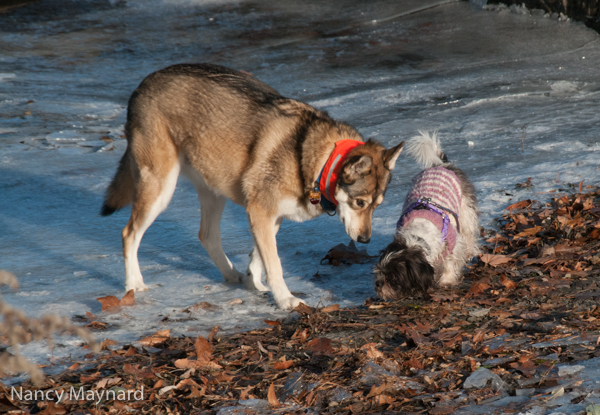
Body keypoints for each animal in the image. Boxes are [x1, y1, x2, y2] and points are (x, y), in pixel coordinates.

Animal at [102, 64, 404, 308]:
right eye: (360, 203)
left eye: (377, 206)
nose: (365, 240)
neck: (316, 161)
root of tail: (142, 85)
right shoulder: (260, 211)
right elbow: (274, 264)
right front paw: (285, 300)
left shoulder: (269, 216)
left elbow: (258, 257)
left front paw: (253, 284)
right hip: (160, 191)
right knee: (128, 233)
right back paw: (134, 285)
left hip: (214, 191)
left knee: (206, 235)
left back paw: (231, 275)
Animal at [372, 133, 480, 300]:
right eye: (380, 272)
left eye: (394, 278)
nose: (378, 284)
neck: (418, 236)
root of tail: (441, 165)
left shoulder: (453, 243)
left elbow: (450, 261)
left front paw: (446, 281)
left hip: (465, 212)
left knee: (468, 233)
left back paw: (470, 251)